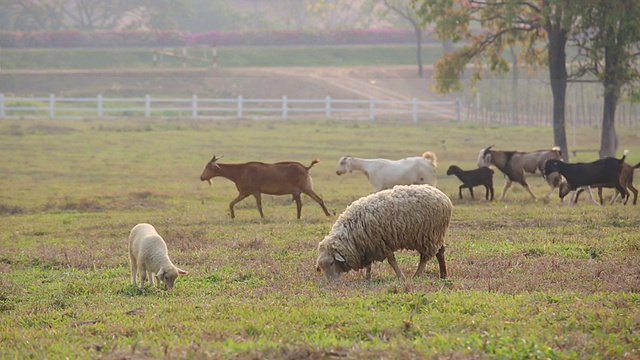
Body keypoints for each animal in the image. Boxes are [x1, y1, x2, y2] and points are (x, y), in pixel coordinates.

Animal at [199, 155, 330, 219]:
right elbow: (231, 203)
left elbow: (259, 206)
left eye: (208, 167)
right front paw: (232, 216)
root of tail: (306, 168)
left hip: (307, 188)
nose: (201, 177)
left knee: (319, 199)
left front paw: (263, 217)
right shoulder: (244, 193)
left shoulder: (255, 192)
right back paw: (298, 217)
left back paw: (328, 214)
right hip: (297, 192)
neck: (240, 171)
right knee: (300, 204)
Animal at [316, 186, 450, 282]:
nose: (333, 284)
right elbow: (369, 265)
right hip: (435, 234)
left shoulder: (381, 243)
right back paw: (443, 275)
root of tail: (444, 197)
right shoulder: (368, 246)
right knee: (440, 253)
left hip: (429, 234)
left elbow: (392, 261)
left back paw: (416, 276)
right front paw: (367, 279)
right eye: (322, 267)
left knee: (425, 258)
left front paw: (401, 277)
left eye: (332, 263)